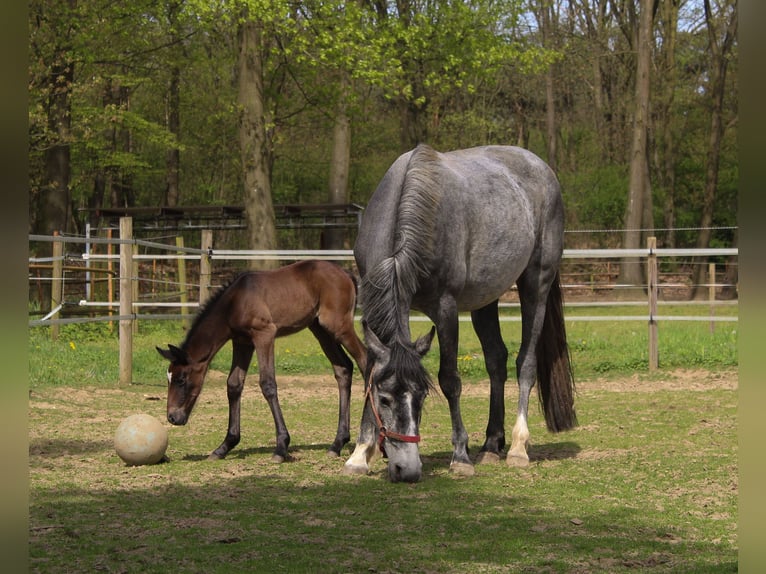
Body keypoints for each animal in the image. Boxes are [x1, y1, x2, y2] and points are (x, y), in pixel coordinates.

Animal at [344, 143, 580, 482]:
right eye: (384, 399)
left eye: (422, 397)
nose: (407, 470)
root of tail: (541, 167)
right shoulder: (372, 309)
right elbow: (369, 373)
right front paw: (360, 453)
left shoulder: (446, 308)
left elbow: (450, 380)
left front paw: (460, 456)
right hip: (485, 300)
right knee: (496, 360)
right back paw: (492, 444)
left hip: (536, 285)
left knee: (525, 363)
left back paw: (517, 447)